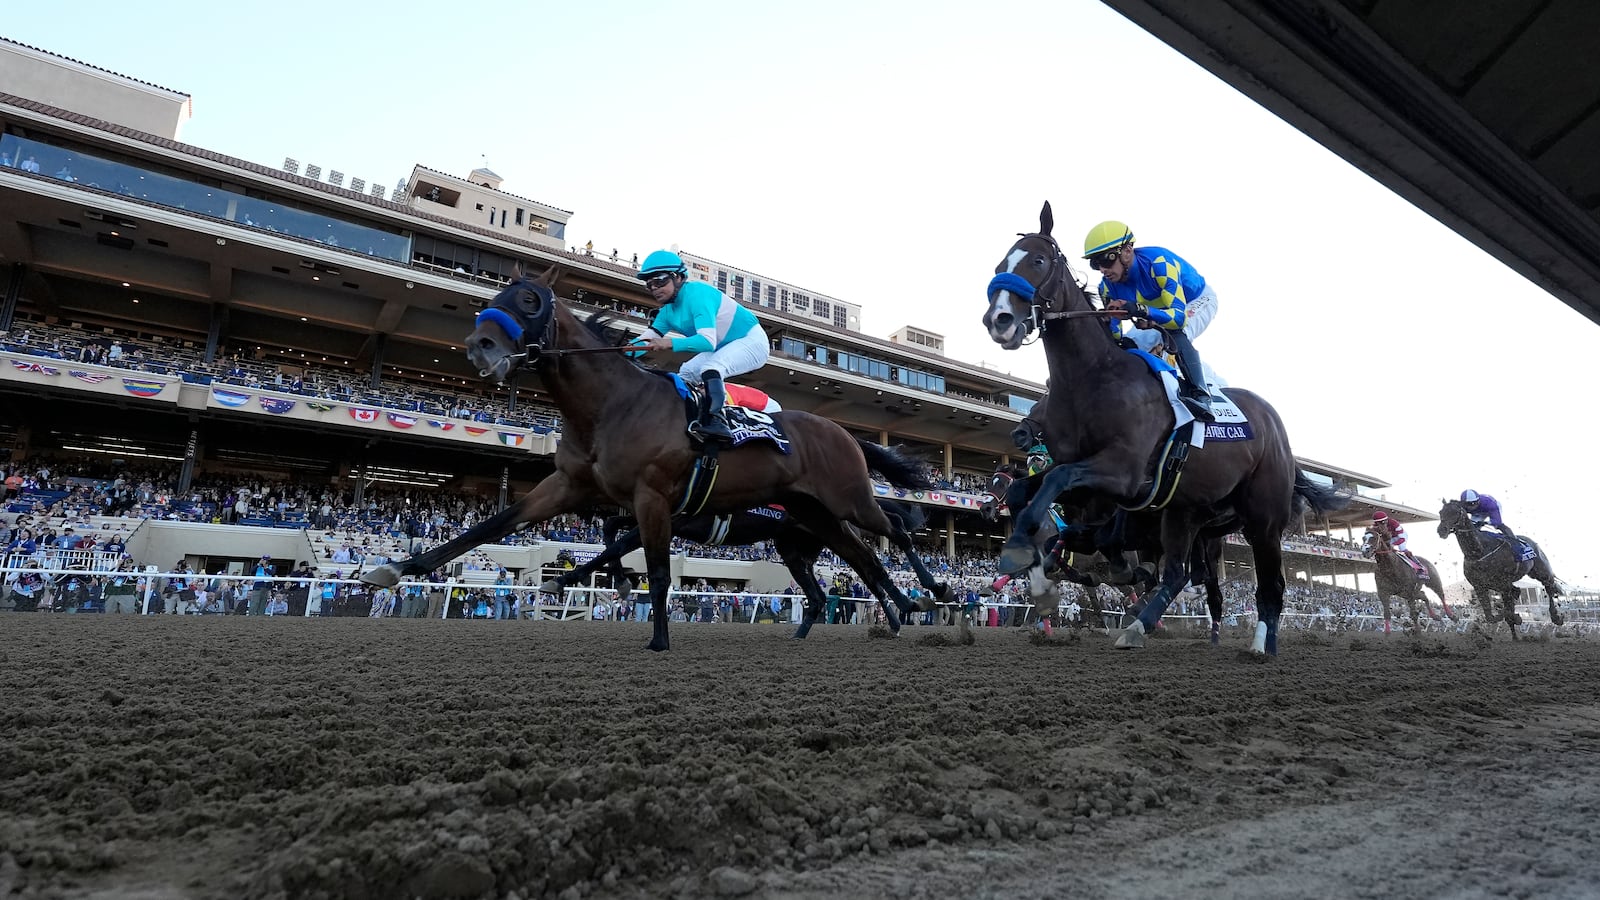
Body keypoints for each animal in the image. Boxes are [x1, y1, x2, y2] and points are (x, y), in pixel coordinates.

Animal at [537, 496, 934, 637]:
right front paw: (619, 579)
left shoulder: (674, 520)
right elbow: (610, 530)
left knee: (871, 559)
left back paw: (911, 602)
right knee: (827, 592)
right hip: (794, 548)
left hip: (833, 532)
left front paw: (563, 579)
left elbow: (617, 541)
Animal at [979, 201, 1344, 650]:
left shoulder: (1123, 472)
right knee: (1179, 573)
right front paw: (1033, 568)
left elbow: (1057, 483)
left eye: (1038, 260)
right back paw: (1142, 625)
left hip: (1263, 518)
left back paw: (1260, 644)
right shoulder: (1093, 490)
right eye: (1000, 265)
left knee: (1269, 583)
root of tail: (1275, 425)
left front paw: (1027, 553)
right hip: (1184, 513)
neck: (1095, 378)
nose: (999, 320)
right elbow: (1031, 491)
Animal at [1440, 496, 1561, 630]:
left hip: (1542, 571)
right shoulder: (1480, 587)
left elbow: (1508, 609)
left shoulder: (1504, 584)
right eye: (1441, 512)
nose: (1441, 530)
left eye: (1455, 512)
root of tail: (1533, 543)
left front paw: (1515, 616)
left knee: (1549, 587)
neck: (1479, 552)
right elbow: (1491, 617)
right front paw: (1514, 616)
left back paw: (1556, 616)